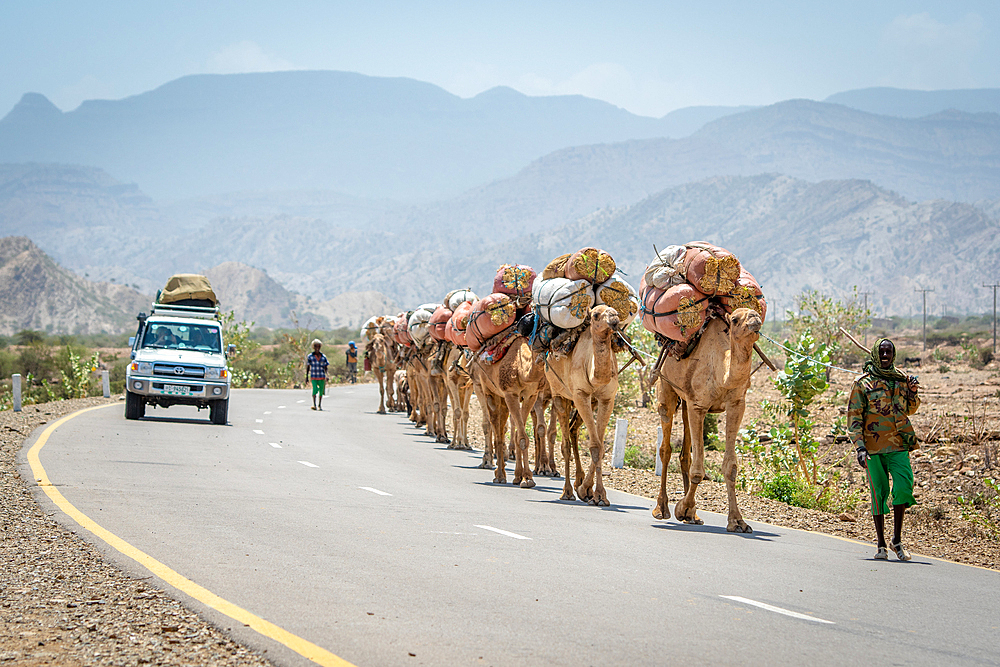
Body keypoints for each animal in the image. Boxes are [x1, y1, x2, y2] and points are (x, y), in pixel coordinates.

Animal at [470, 336, 544, 488]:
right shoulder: (511, 394)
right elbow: (522, 437)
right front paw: (527, 479)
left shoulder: (531, 395)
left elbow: (519, 435)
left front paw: (521, 477)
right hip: (488, 390)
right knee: (497, 431)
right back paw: (499, 476)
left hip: (502, 398)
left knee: (502, 427)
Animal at [544, 306, 620, 504]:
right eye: (596, 315)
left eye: (616, 312)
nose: (615, 319)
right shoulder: (580, 394)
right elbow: (594, 446)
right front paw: (592, 492)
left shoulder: (606, 399)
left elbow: (600, 447)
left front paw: (593, 492)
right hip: (559, 394)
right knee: (565, 444)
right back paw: (567, 492)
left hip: (584, 402)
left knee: (573, 430)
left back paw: (578, 482)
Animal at [652, 306, 760, 532]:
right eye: (735, 319)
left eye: (755, 313)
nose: (755, 318)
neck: (721, 373)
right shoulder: (698, 406)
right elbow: (698, 469)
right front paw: (682, 508)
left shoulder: (737, 404)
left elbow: (730, 467)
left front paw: (737, 521)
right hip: (666, 389)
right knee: (665, 448)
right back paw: (662, 509)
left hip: (686, 401)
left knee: (685, 453)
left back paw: (693, 516)